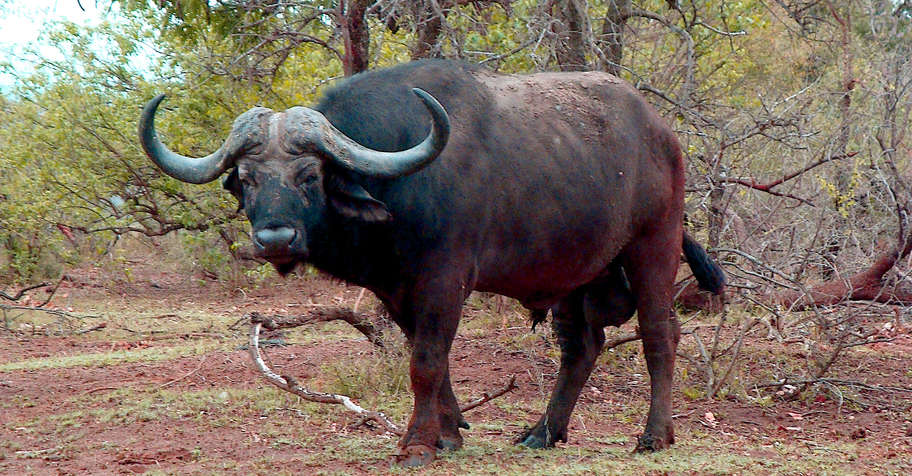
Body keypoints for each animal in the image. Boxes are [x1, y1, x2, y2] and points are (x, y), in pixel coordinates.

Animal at [138, 59, 724, 466]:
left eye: (309, 175)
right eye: (248, 177)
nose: (275, 236)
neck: (400, 186)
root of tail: (663, 134)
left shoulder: (445, 279)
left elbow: (424, 361)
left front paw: (417, 445)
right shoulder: (397, 292)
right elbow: (432, 361)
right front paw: (446, 434)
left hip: (653, 245)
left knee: (659, 334)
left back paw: (653, 436)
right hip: (576, 275)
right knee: (582, 348)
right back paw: (542, 432)